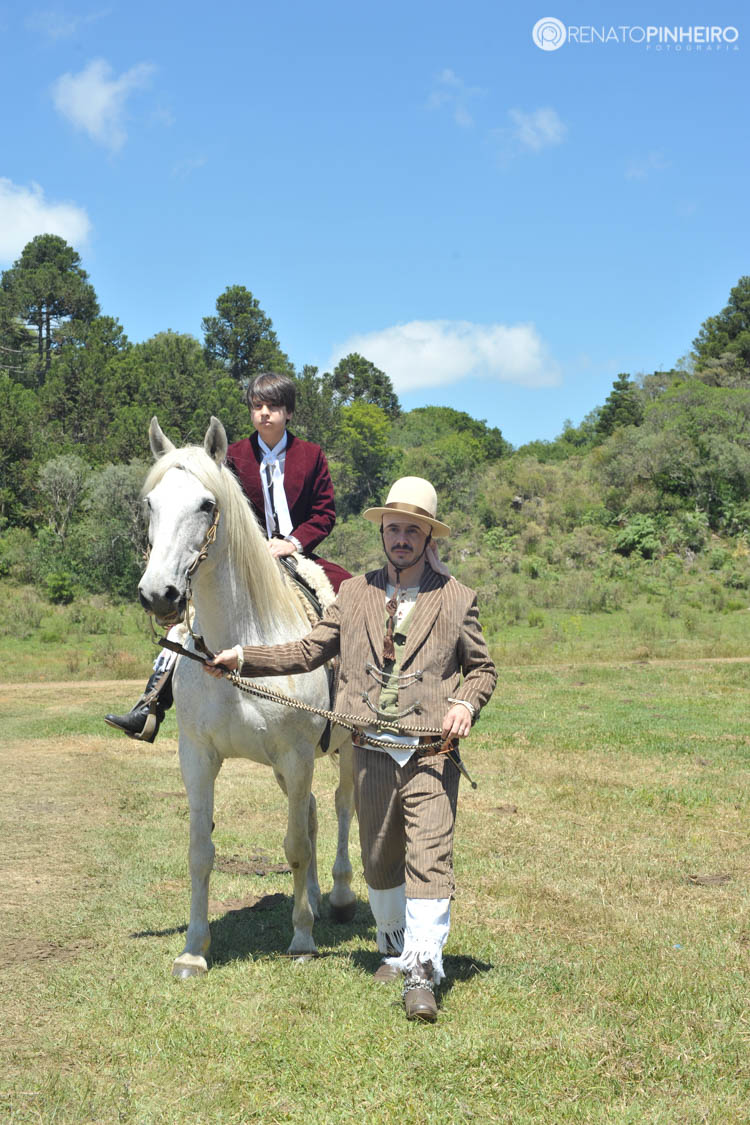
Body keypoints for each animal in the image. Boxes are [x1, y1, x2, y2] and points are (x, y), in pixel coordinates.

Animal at [138, 415, 356, 977]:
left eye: (205, 505)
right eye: (150, 504)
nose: (158, 594)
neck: (241, 645)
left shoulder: (298, 755)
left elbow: (295, 845)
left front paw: (301, 938)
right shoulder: (198, 756)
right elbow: (200, 851)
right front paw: (193, 950)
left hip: (345, 747)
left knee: (343, 805)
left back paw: (340, 896)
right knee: (315, 810)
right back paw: (316, 897)